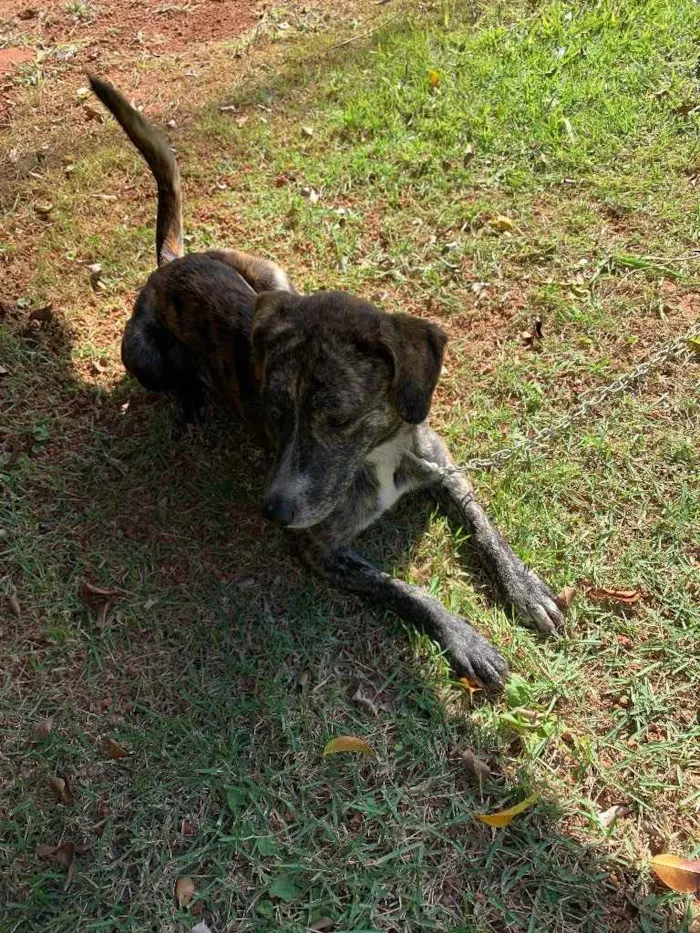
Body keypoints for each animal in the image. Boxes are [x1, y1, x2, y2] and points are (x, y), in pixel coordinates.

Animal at [90, 76, 568, 684]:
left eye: (337, 418)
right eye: (274, 412)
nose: (272, 512)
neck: (382, 453)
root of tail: (168, 265)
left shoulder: (442, 462)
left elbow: (484, 524)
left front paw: (524, 586)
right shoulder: (319, 549)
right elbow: (404, 590)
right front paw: (464, 638)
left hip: (274, 277)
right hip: (142, 354)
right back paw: (192, 399)